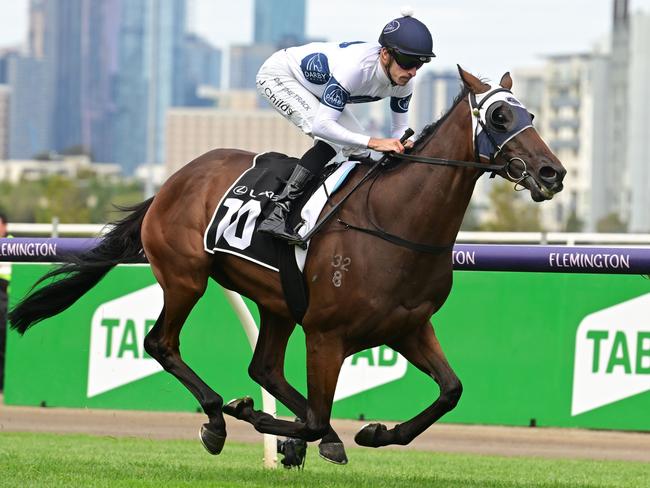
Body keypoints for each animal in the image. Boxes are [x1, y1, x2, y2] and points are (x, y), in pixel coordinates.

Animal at [8, 66, 560, 464]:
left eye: (531, 113)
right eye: (499, 118)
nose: (552, 172)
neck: (394, 221)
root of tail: (172, 181)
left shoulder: (409, 326)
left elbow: (450, 392)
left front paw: (374, 433)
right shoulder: (326, 335)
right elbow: (315, 415)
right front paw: (258, 418)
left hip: (276, 301)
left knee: (266, 368)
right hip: (186, 278)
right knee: (161, 343)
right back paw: (217, 417)